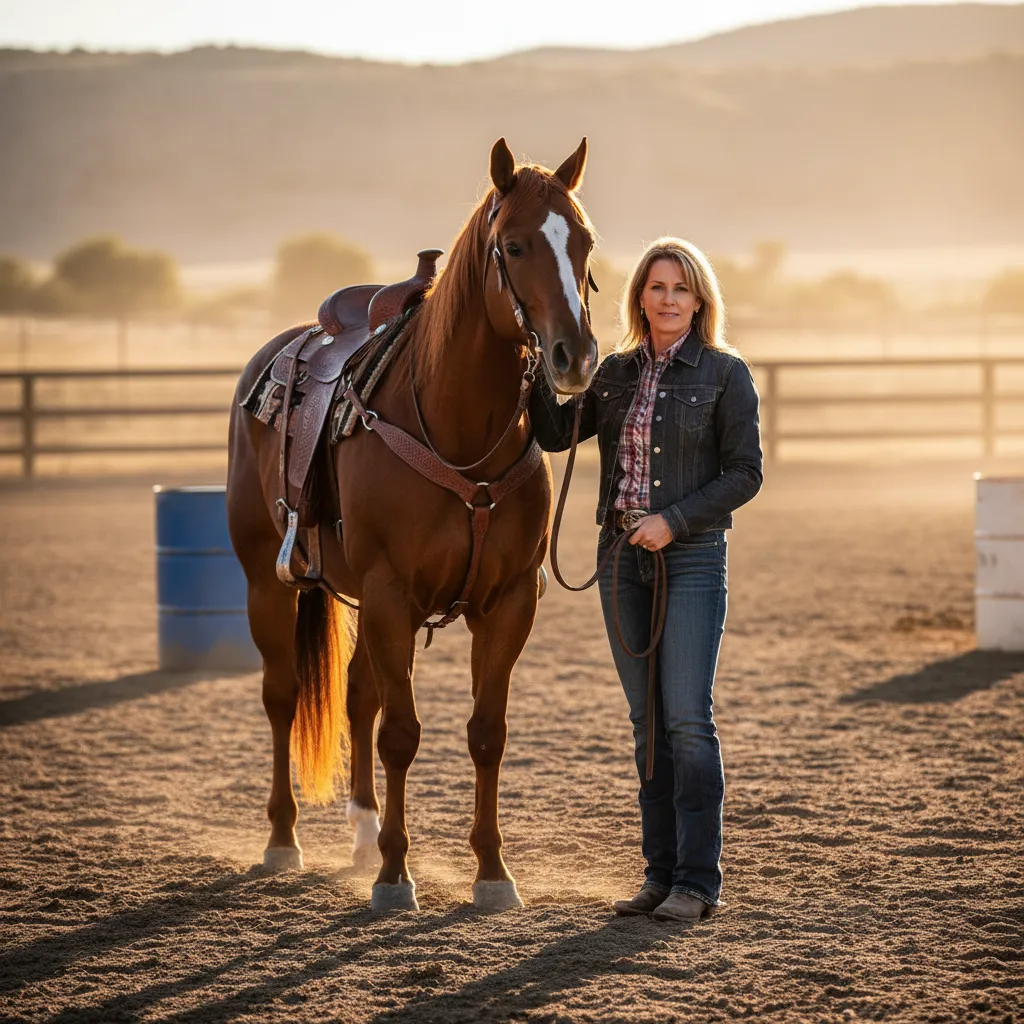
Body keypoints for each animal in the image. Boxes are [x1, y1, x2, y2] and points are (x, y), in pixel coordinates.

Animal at [226, 138, 599, 911]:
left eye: (584, 242)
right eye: (514, 245)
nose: (574, 358)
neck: (458, 427)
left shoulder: (508, 602)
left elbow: (486, 733)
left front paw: (492, 873)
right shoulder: (392, 594)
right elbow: (401, 733)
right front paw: (397, 877)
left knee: (357, 697)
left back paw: (365, 836)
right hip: (267, 582)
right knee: (283, 697)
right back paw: (284, 839)